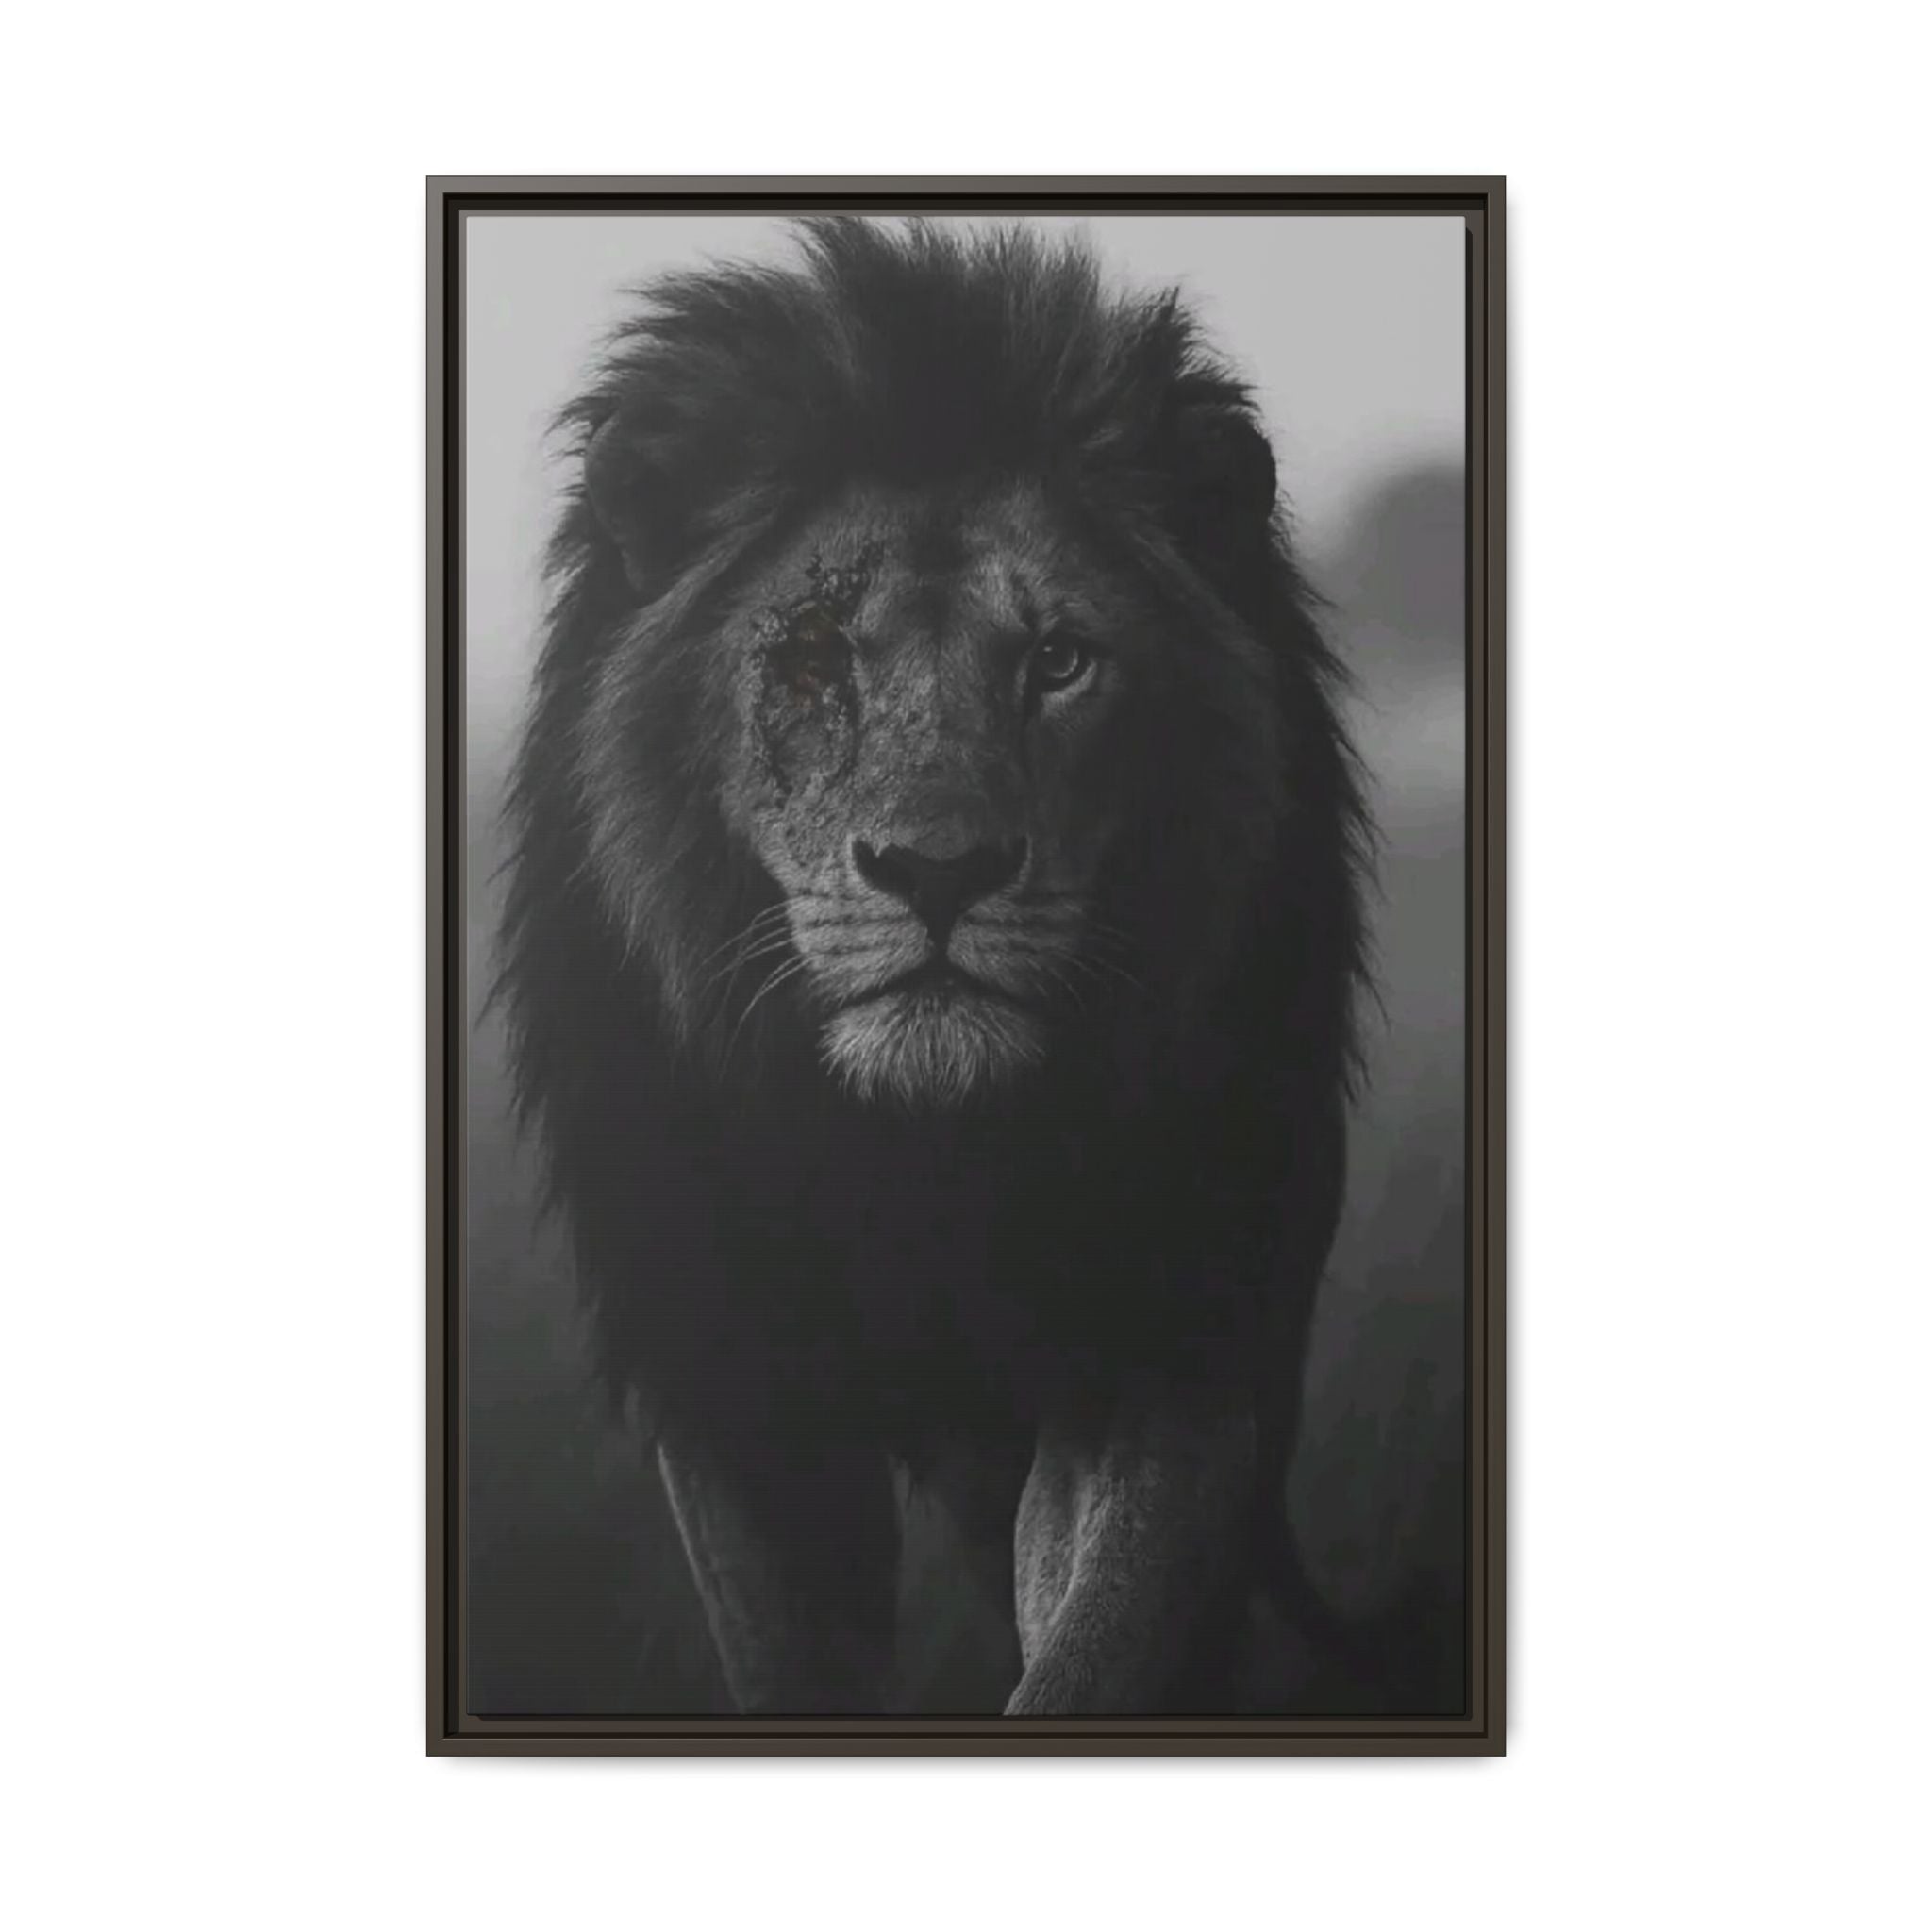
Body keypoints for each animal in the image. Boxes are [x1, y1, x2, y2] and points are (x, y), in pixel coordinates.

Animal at [499, 217, 1370, 1715]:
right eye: (808, 659)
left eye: (1061, 661)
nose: (939, 870)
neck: (921, 1157)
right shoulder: (731, 1380)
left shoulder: (1167, 1335)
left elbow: (1101, 1640)